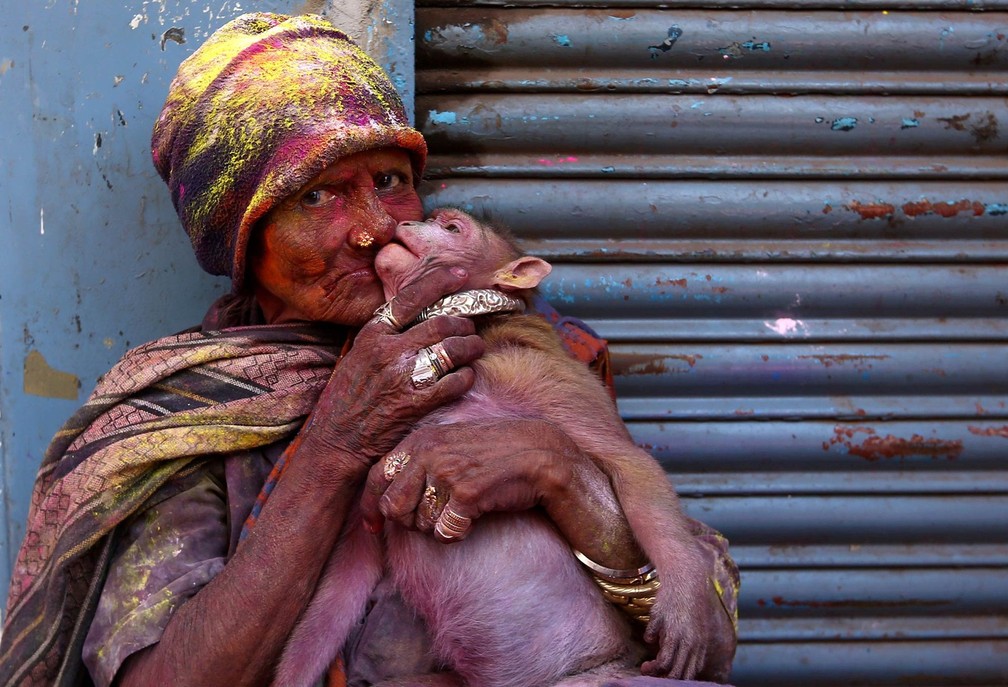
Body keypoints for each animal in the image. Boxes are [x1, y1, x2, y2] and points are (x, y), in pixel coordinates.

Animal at [274, 208, 721, 687]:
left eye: (452, 228)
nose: (406, 222)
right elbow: (349, 569)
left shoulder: (534, 368)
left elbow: (628, 461)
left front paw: (685, 600)